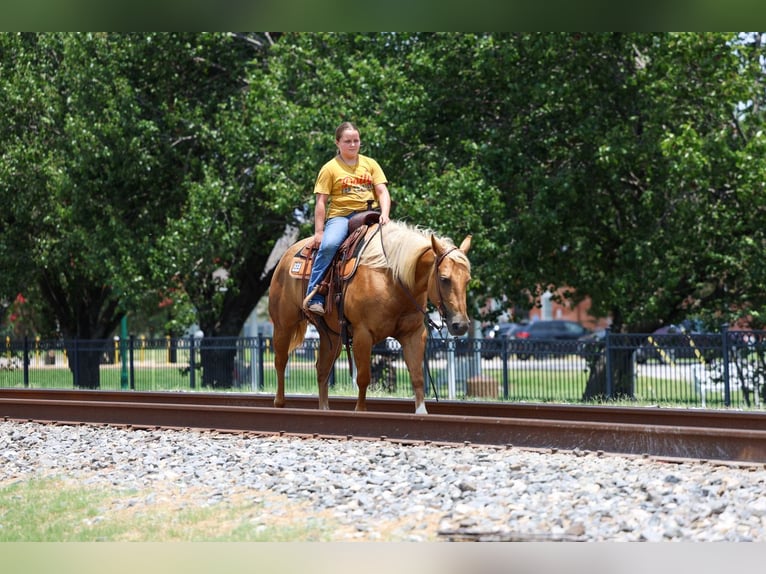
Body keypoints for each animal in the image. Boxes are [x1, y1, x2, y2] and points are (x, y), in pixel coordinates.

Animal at [268, 220, 472, 413]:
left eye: (468, 280)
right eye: (444, 279)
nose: (460, 325)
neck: (393, 279)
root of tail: (287, 255)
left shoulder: (413, 335)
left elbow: (417, 376)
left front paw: (421, 411)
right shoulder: (363, 334)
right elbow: (364, 377)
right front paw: (360, 410)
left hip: (331, 335)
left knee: (322, 369)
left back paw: (324, 408)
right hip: (283, 326)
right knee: (281, 361)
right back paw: (279, 403)